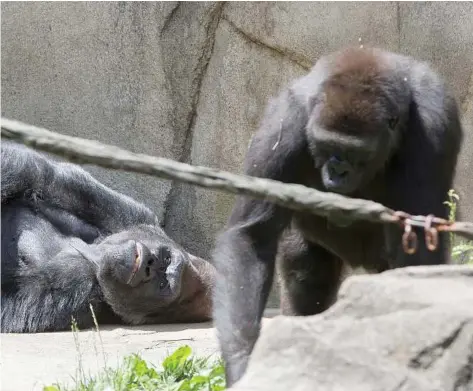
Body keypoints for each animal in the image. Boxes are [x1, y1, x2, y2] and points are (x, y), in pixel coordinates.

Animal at [0, 141, 215, 334]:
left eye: (163, 285)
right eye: (166, 257)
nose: (149, 263)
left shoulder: (81, 288)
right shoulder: (131, 215)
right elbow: (37, 175)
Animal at [212, 46, 462, 386]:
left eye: (357, 153)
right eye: (326, 145)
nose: (337, 172)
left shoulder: (434, 127)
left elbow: (419, 242)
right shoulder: (285, 123)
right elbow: (252, 234)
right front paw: (244, 363)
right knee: (307, 274)